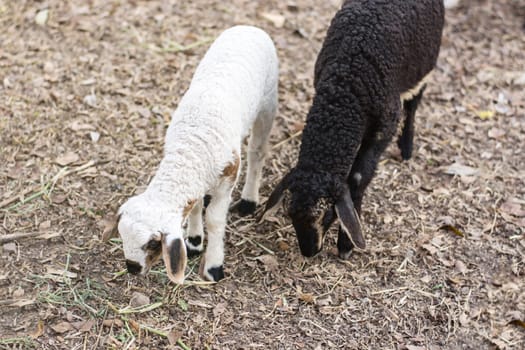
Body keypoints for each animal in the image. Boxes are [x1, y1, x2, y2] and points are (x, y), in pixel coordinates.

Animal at [104, 26, 280, 284]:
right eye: (122, 234)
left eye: (153, 243)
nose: (132, 268)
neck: (191, 148)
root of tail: (248, 27)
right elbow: (195, 205)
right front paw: (195, 241)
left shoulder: (229, 173)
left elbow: (215, 220)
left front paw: (214, 266)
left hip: (267, 103)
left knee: (257, 152)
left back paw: (249, 200)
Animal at [260, 0, 444, 258]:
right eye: (289, 213)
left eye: (326, 213)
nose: (309, 252)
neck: (346, 87)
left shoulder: (385, 126)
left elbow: (357, 177)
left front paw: (346, 243)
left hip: (424, 63)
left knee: (414, 102)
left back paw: (407, 147)